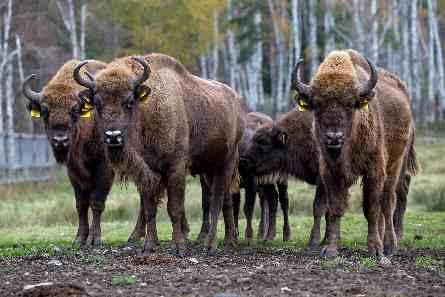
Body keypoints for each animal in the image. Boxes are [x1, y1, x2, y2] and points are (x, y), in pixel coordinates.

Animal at [21, 59, 114, 245]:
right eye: (44, 111)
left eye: (75, 110)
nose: (60, 140)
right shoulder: (73, 172)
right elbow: (81, 204)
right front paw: (79, 239)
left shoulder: (104, 168)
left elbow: (96, 202)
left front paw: (95, 239)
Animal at [74, 53, 245, 254]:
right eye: (97, 103)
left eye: (129, 102)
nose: (113, 136)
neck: (148, 109)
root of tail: (236, 101)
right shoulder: (147, 172)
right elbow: (150, 209)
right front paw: (148, 246)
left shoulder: (176, 168)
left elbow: (174, 208)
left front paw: (178, 247)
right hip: (210, 168)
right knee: (225, 199)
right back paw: (229, 240)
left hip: (226, 162)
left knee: (217, 200)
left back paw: (212, 244)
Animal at [292, 49, 416, 256]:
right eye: (317, 104)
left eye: (350, 104)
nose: (334, 138)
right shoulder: (330, 173)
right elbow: (335, 208)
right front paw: (331, 249)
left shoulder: (374, 170)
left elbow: (371, 208)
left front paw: (375, 249)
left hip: (396, 164)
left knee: (388, 201)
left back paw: (389, 245)